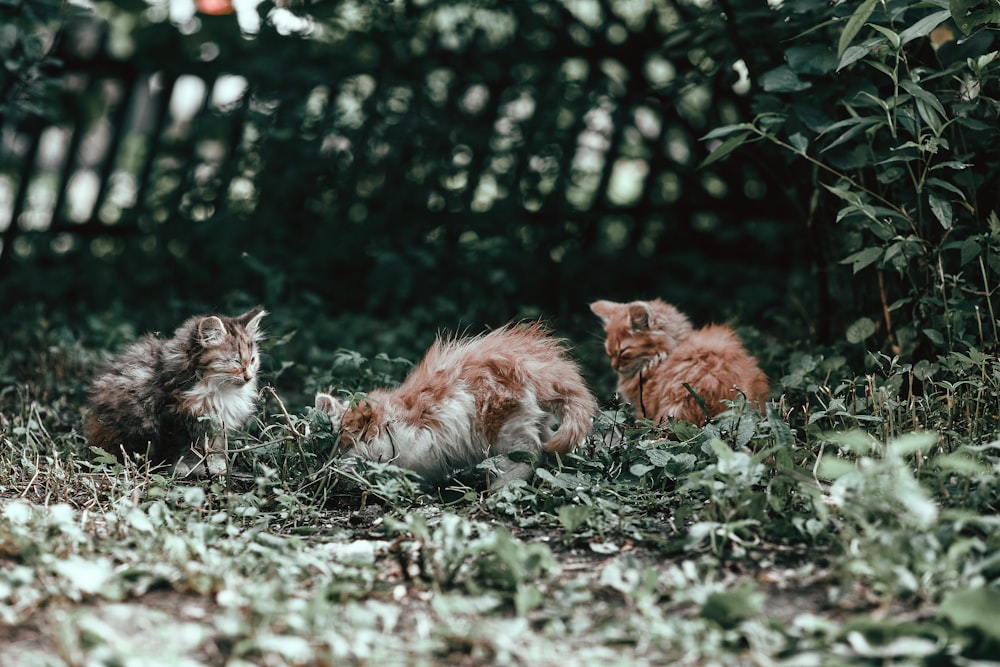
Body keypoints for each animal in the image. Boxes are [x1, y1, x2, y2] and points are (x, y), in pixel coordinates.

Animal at [84, 306, 268, 478]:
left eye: (252, 360)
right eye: (235, 361)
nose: (249, 377)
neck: (214, 388)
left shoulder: (211, 422)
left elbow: (211, 444)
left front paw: (213, 465)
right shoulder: (173, 417)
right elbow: (182, 447)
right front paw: (185, 467)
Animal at [312, 320, 592, 488]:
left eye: (348, 439)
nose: (332, 462)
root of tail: (538, 367)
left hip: (501, 425)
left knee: (533, 452)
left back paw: (500, 484)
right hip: (529, 422)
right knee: (547, 448)